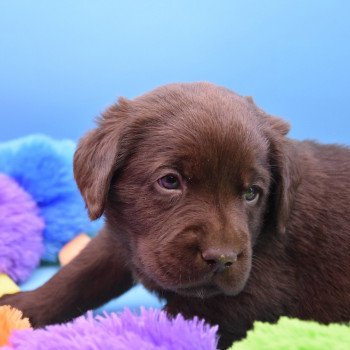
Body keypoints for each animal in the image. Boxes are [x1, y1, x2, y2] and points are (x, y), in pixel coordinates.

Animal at [0, 83, 350, 348]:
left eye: (252, 193)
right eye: (170, 181)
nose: (222, 258)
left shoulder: (242, 300)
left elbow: (160, 327)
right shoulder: (121, 239)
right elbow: (74, 277)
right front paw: (18, 308)